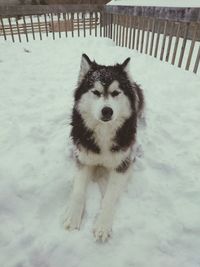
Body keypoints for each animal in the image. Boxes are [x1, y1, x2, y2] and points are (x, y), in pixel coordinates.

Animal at [65, 54, 145, 243]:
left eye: (116, 93)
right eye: (95, 92)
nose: (107, 111)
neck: (103, 132)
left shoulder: (124, 164)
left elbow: (109, 197)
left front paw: (102, 225)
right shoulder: (83, 158)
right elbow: (78, 191)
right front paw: (73, 217)